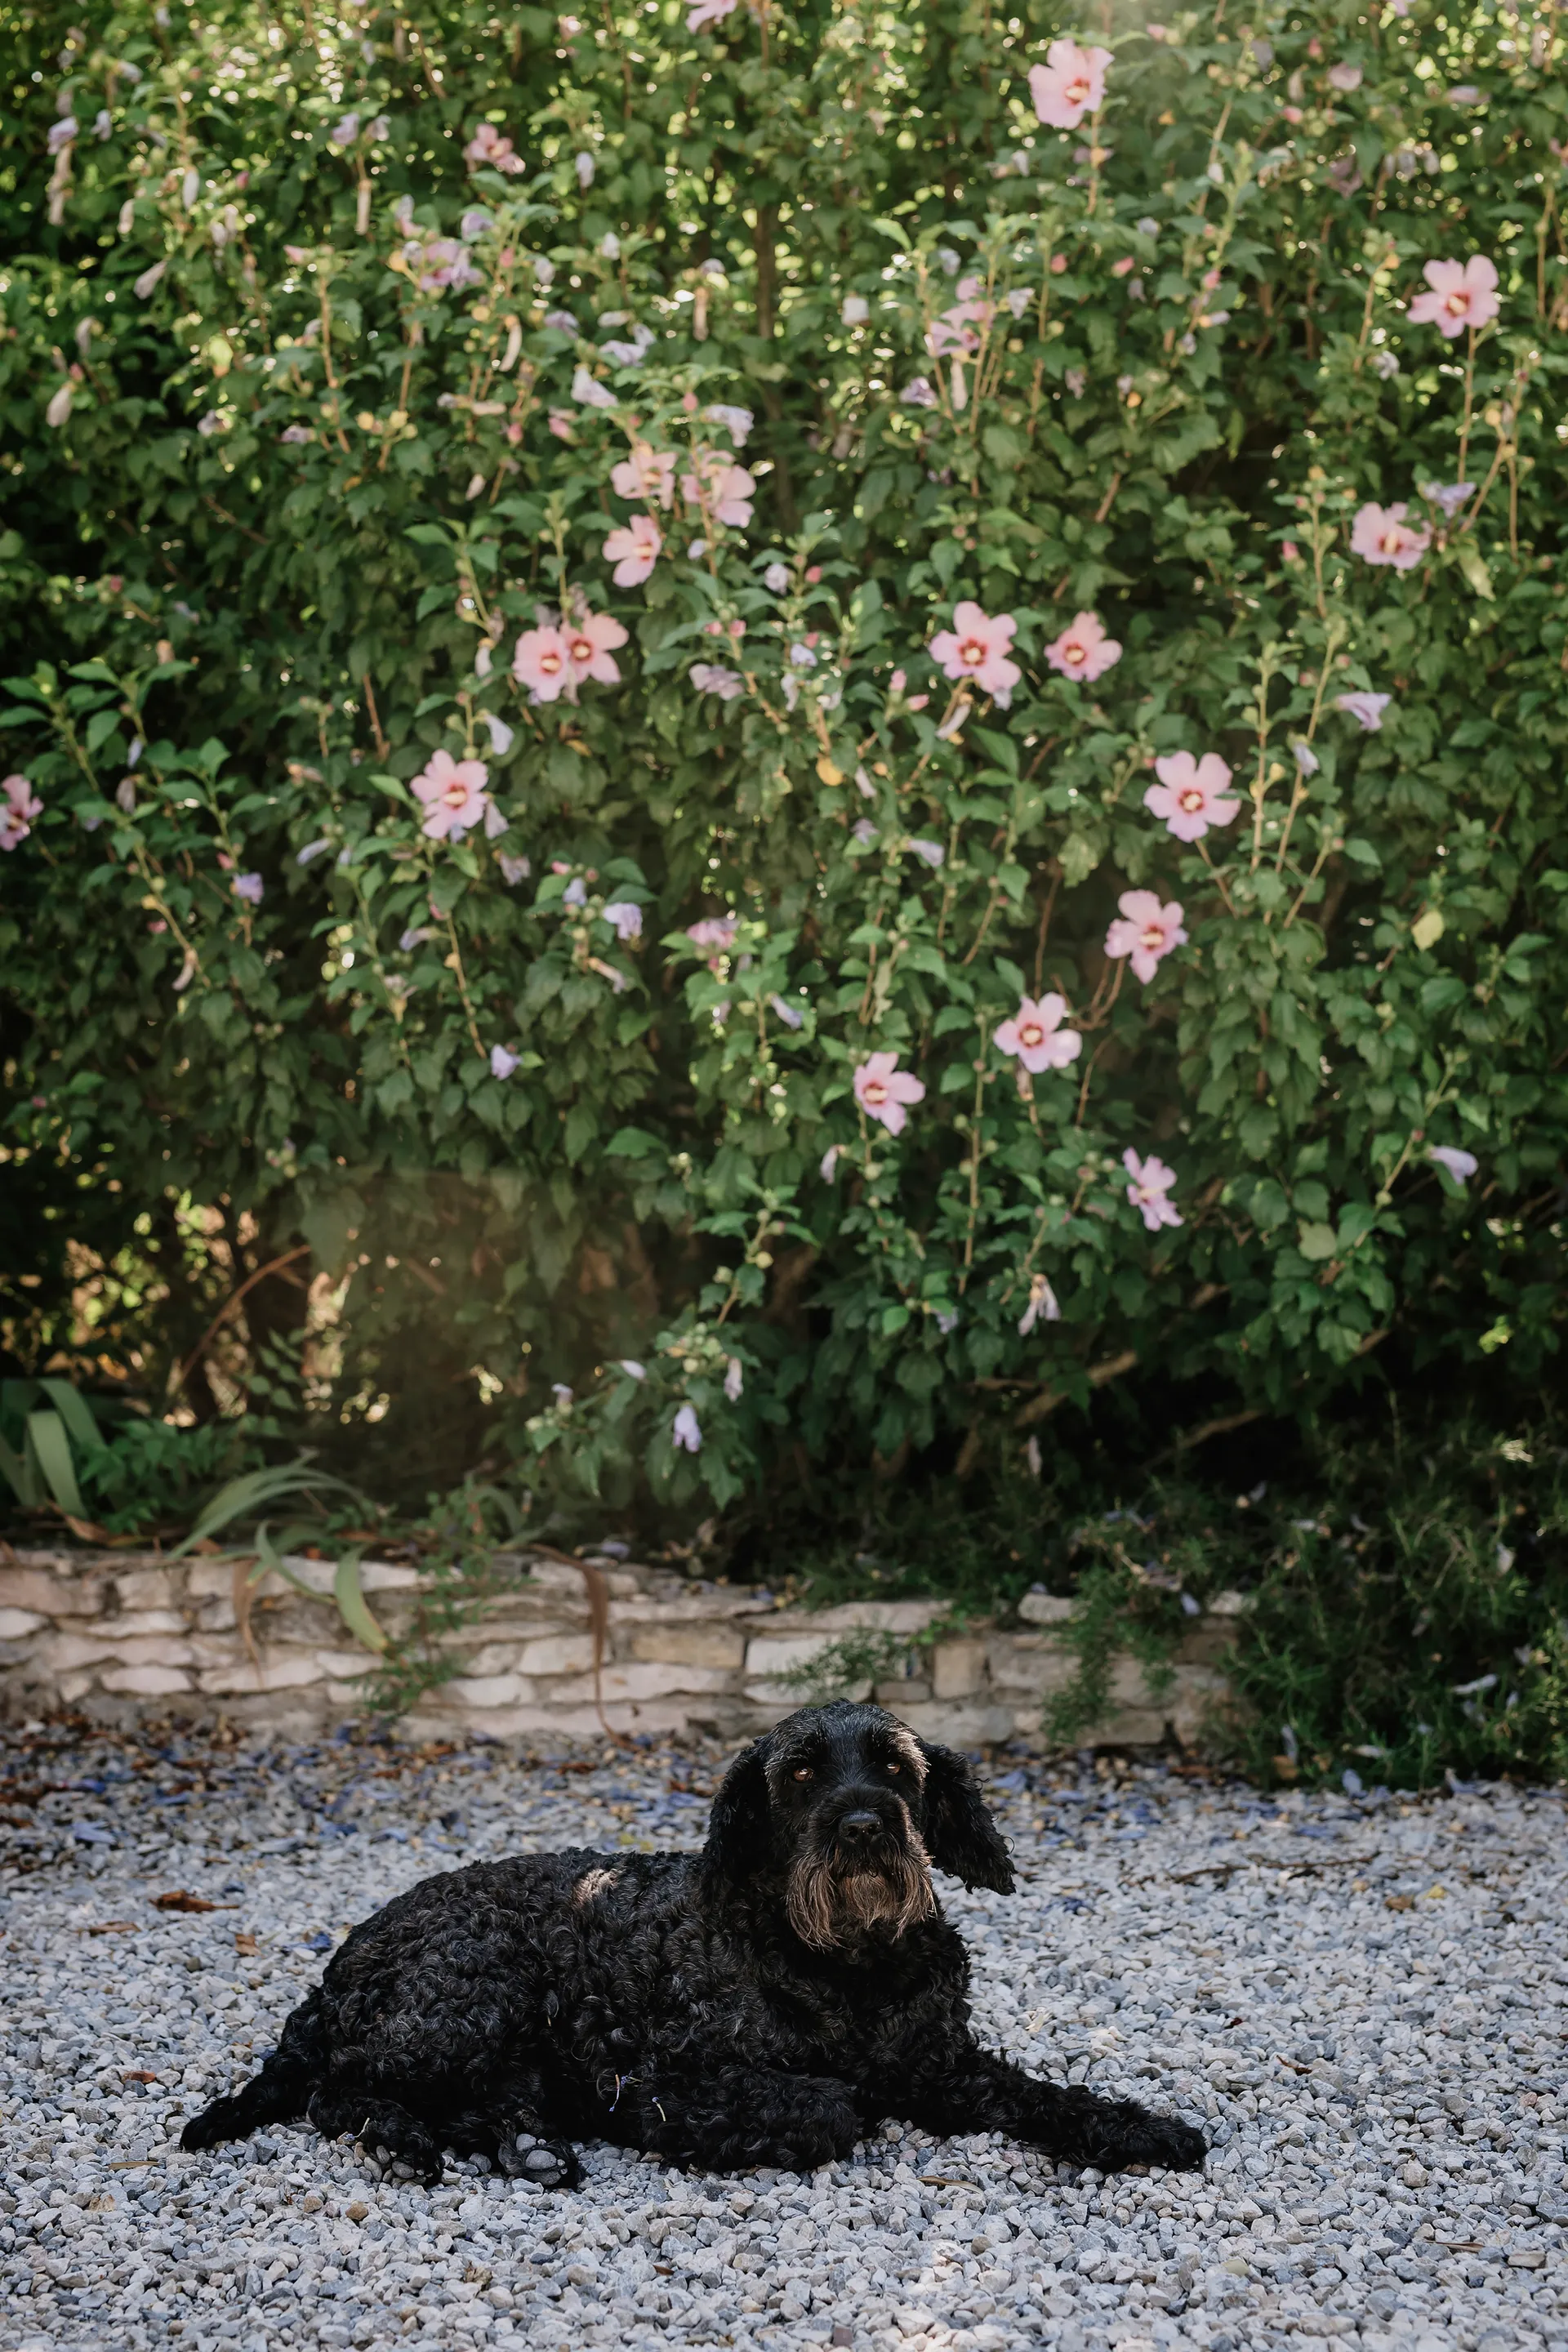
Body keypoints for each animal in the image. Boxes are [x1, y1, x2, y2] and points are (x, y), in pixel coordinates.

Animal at [184, 1712, 1213, 2182]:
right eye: (800, 1773)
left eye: (895, 1765)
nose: (864, 1827)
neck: (844, 1967)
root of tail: (335, 1974)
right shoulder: (666, 2075)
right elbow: (830, 2105)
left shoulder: (947, 2067)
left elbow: (1050, 2098)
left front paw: (1140, 2127)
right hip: (474, 1996)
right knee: (336, 2093)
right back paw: (413, 2137)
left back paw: (520, 2144)